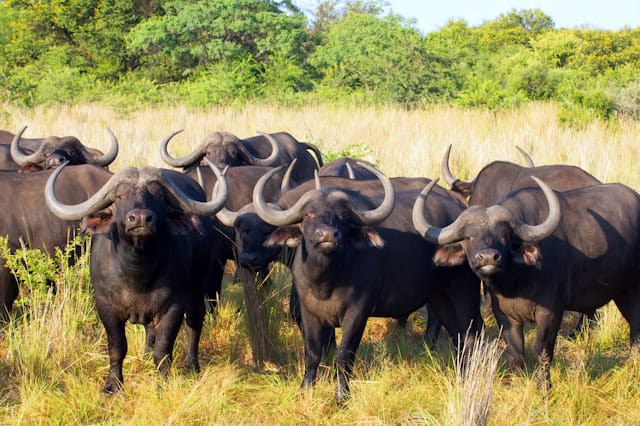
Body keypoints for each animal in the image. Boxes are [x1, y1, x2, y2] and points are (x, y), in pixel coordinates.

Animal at [43, 159, 228, 392]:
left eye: (158, 196)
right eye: (120, 196)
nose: (140, 218)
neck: (138, 273)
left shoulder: (173, 306)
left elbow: (163, 348)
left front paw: (163, 381)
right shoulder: (105, 305)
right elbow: (117, 346)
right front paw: (112, 385)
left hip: (198, 286)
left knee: (194, 322)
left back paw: (192, 365)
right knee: (150, 331)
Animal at [254, 165, 480, 402]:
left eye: (343, 216)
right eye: (308, 214)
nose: (328, 235)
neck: (325, 282)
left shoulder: (357, 313)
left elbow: (344, 355)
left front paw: (341, 396)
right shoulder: (309, 312)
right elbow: (312, 353)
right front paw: (305, 389)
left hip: (464, 292)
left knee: (472, 335)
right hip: (439, 298)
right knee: (456, 335)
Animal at [412, 178, 640, 384]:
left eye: (504, 235)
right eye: (468, 237)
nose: (488, 258)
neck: (516, 283)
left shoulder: (551, 313)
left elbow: (542, 352)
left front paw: (544, 388)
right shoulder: (504, 315)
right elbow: (515, 354)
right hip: (621, 294)